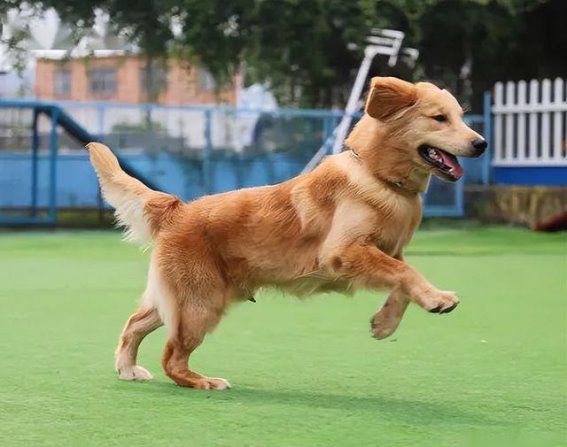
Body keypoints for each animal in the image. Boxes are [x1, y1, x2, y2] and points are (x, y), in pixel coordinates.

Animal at [86, 76, 486, 388]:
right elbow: (406, 274)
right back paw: (202, 381)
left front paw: (385, 323)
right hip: (200, 303)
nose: (481, 143)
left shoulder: (389, 251)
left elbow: (402, 281)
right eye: (439, 118)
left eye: (461, 117)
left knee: (134, 324)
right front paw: (437, 299)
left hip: (183, 299)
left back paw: (127, 369)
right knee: (171, 357)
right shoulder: (345, 251)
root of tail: (178, 210)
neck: (380, 178)